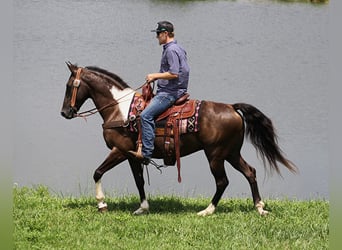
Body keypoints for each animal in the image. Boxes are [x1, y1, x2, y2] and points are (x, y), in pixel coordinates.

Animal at [59, 62, 296, 215]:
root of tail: (231, 107)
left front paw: (101, 204)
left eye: (69, 86)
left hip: (216, 155)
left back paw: (207, 210)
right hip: (231, 153)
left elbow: (97, 172)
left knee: (222, 181)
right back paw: (259, 207)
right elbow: (139, 181)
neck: (120, 110)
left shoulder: (119, 150)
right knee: (250, 172)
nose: (65, 113)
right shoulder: (133, 155)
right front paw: (142, 208)